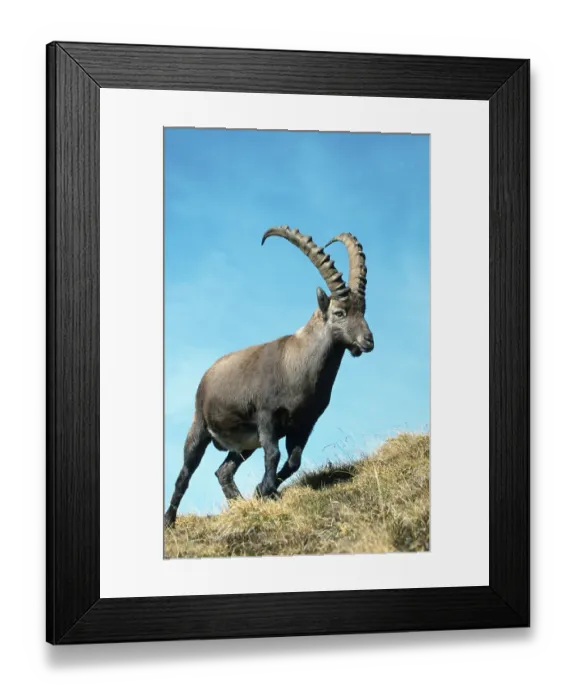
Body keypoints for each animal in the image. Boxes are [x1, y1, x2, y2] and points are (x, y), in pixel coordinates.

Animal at [164, 225, 374, 528]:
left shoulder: (304, 424)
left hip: (243, 444)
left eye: (364, 311)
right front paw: (266, 489)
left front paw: (263, 490)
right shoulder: (266, 417)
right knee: (185, 474)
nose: (368, 341)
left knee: (223, 471)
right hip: (200, 428)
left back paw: (240, 503)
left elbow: (294, 461)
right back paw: (168, 520)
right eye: (339, 312)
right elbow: (274, 454)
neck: (297, 366)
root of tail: (207, 373)